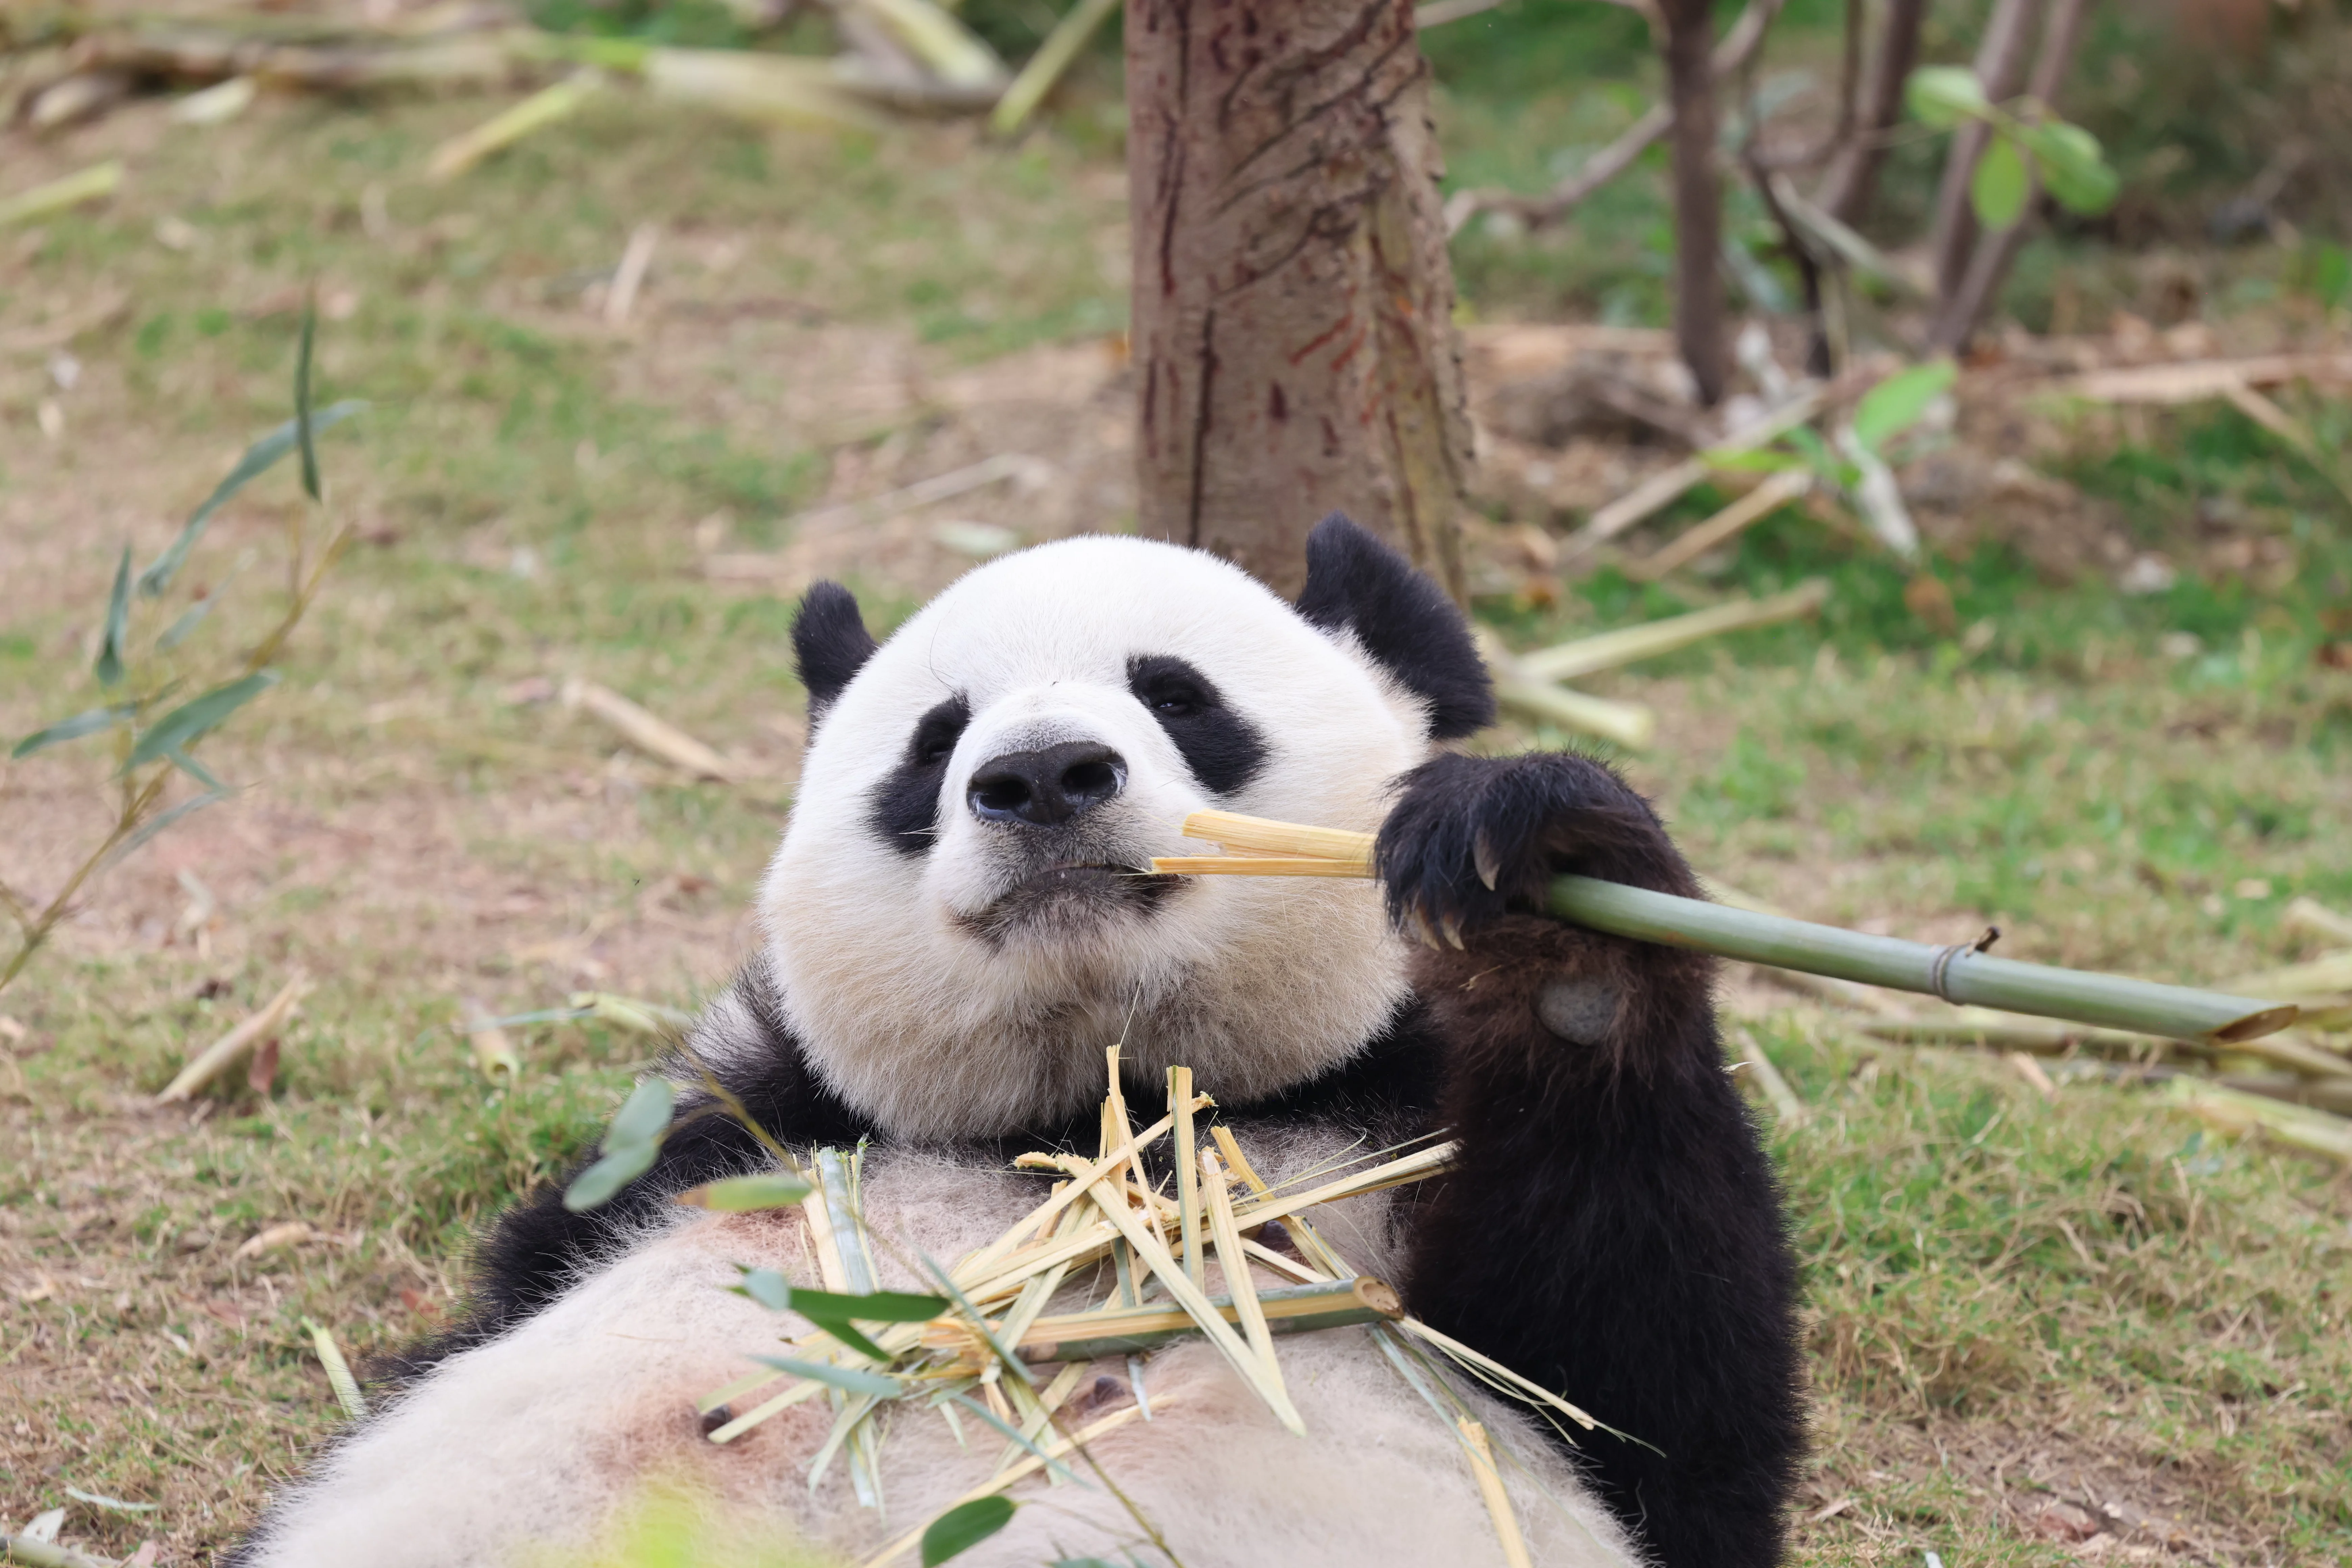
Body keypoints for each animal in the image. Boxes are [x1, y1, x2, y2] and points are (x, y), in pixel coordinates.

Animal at [232, 518, 1802, 1568]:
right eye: (935, 740)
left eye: (1177, 693)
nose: (1042, 775)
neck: (1090, 1108)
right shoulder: (713, 1139)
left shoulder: (1402, 1142)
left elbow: (1656, 1391)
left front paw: (1551, 910)